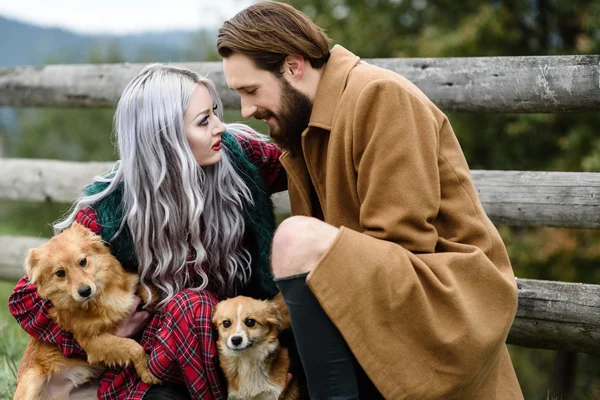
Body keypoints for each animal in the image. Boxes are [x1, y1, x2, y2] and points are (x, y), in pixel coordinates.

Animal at [15, 223, 162, 398]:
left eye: (83, 262)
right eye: (60, 273)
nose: (85, 291)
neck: (101, 298)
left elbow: (144, 289)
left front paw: (153, 299)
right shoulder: (91, 341)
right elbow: (132, 346)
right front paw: (147, 370)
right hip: (31, 383)